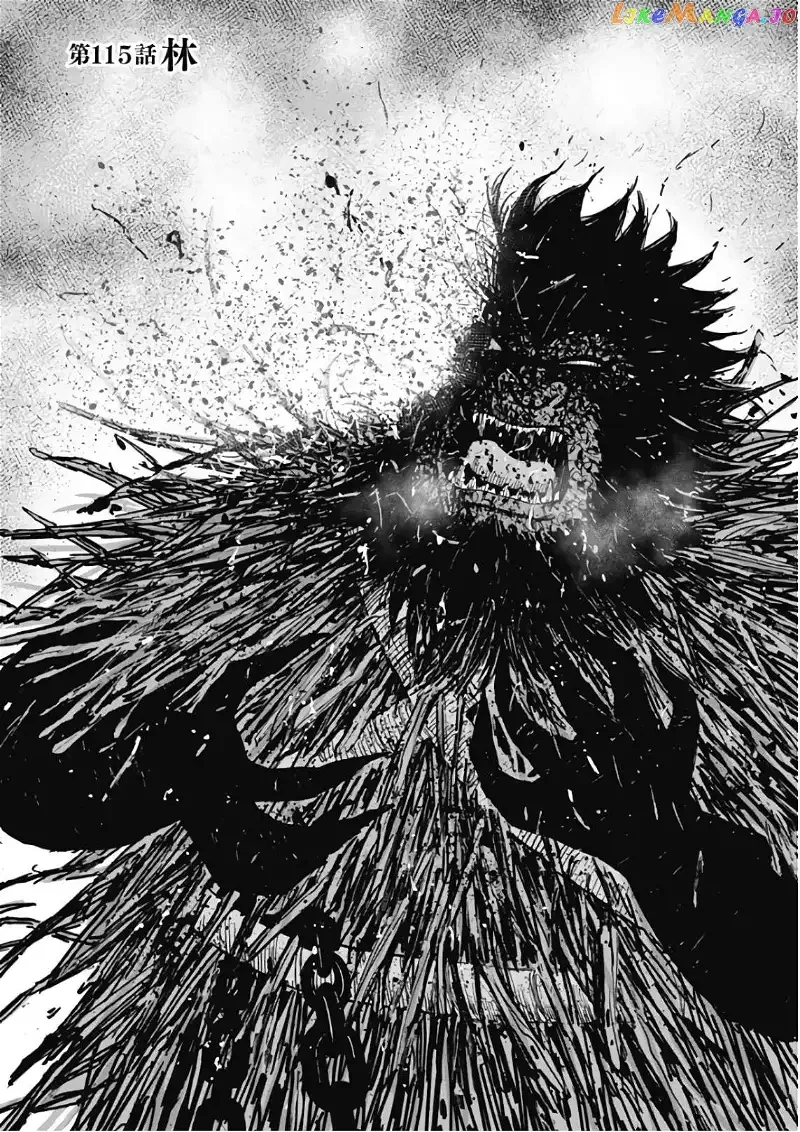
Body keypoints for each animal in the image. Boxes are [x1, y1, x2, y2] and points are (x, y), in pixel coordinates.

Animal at [0, 173, 795, 1130]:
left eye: (584, 370)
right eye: (503, 345)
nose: (526, 393)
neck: (491, 588)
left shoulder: (752, 620)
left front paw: (625, 797)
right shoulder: (263, 526)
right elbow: (34, 712)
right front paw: (209, 769)